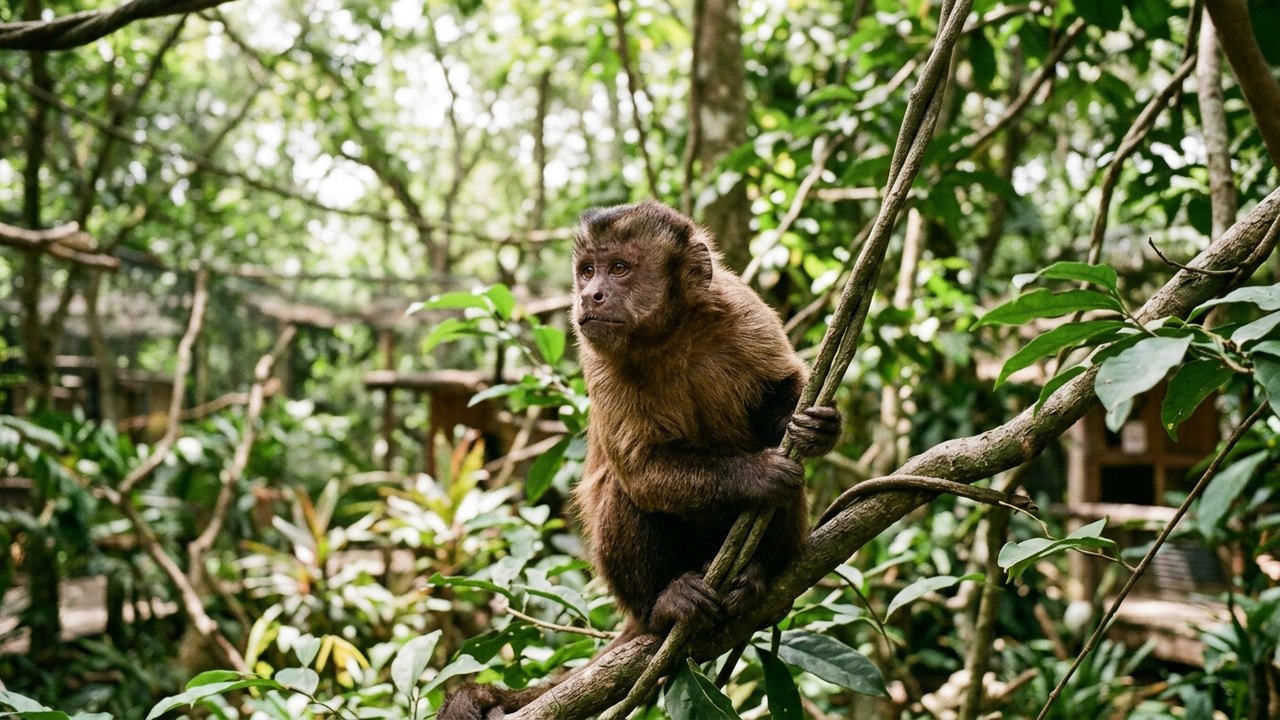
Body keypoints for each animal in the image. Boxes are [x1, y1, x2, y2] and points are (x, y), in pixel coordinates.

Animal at [439, 200, 841, 720]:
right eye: (587, 271)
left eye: (618, 268)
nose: (590, 295)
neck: (670, 333)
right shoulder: (594, 355)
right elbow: (643, 472)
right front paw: (759, 474)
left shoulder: (742, 308)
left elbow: (781, 387)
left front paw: (818, 427)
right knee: (621, 489)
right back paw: (663, 608)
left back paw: (758, 574)